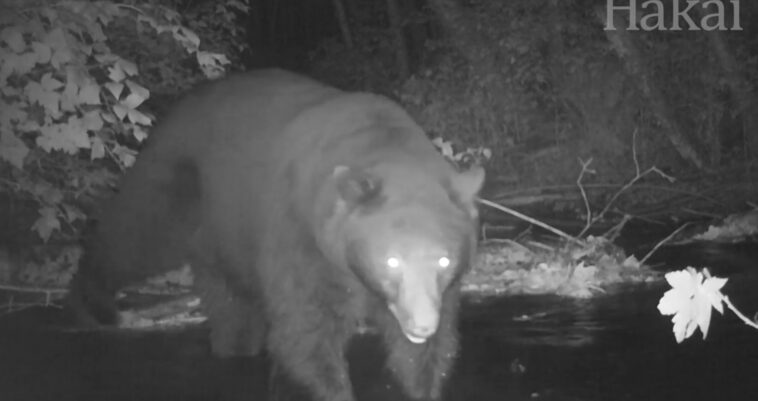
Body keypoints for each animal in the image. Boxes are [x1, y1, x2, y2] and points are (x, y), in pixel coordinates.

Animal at [66, 69, 485, 401]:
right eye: (391, 260)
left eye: (444, 260)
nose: (421, 324)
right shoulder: (301, 236)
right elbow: (305, 332)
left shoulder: (437, 292)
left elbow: (426, 356)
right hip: (177, 185)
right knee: (137, 235)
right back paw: (90, 304)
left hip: (226, 235)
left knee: (232, 306)